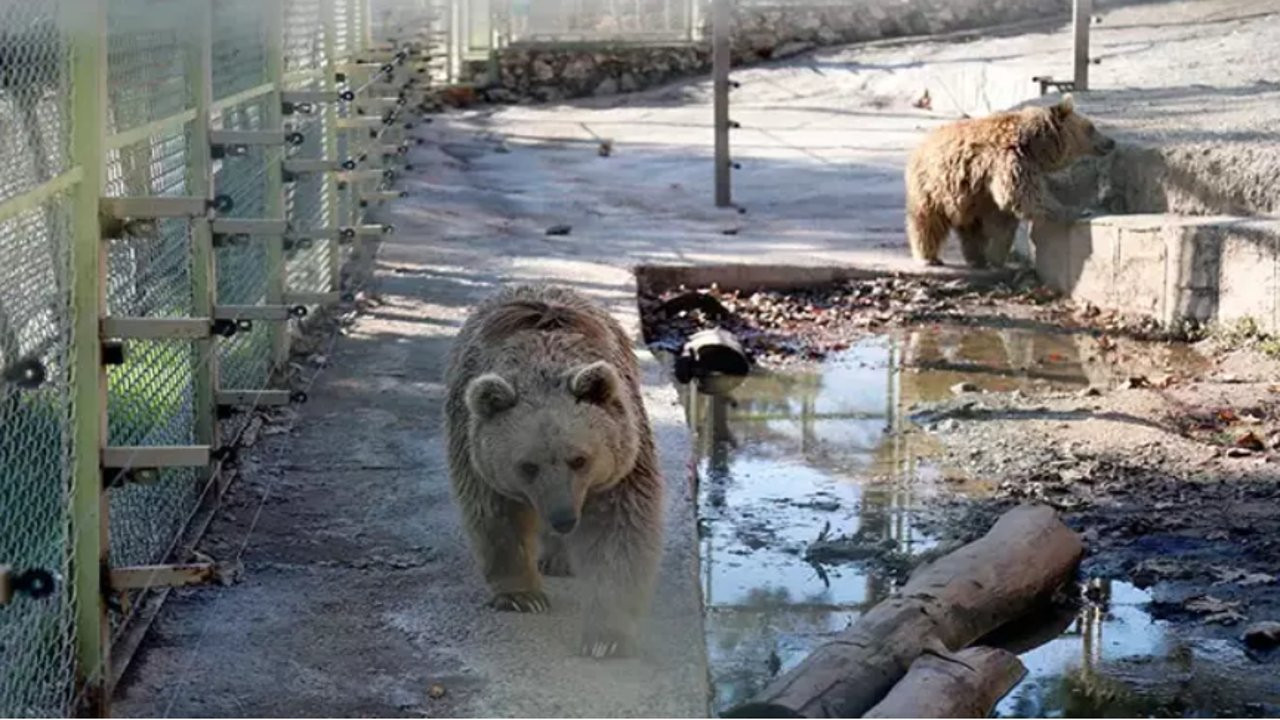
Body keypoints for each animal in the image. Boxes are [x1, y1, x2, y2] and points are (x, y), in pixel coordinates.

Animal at [442, 281, 665, 655]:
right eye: (527, 466)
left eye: (580, 459)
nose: (563, 518)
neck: (542, 361)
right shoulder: (476, 453)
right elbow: (496, 516)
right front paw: (522, 596)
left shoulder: (623, 459)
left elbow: (619, 529)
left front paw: (606, 636)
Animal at [906, 92, 1116, 266]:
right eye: (1091, 127)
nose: (1111, 142)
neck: (1034, 146)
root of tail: (921, 146)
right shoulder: (1010, 161)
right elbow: (1025, 195)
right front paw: (1076, 210)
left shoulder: (988, 191)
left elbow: (1003, 221)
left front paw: (996, 257)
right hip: (932, 186)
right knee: (927, 221)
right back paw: (929, 257)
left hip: (966, 197)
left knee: (971, 228)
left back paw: (976, 258)